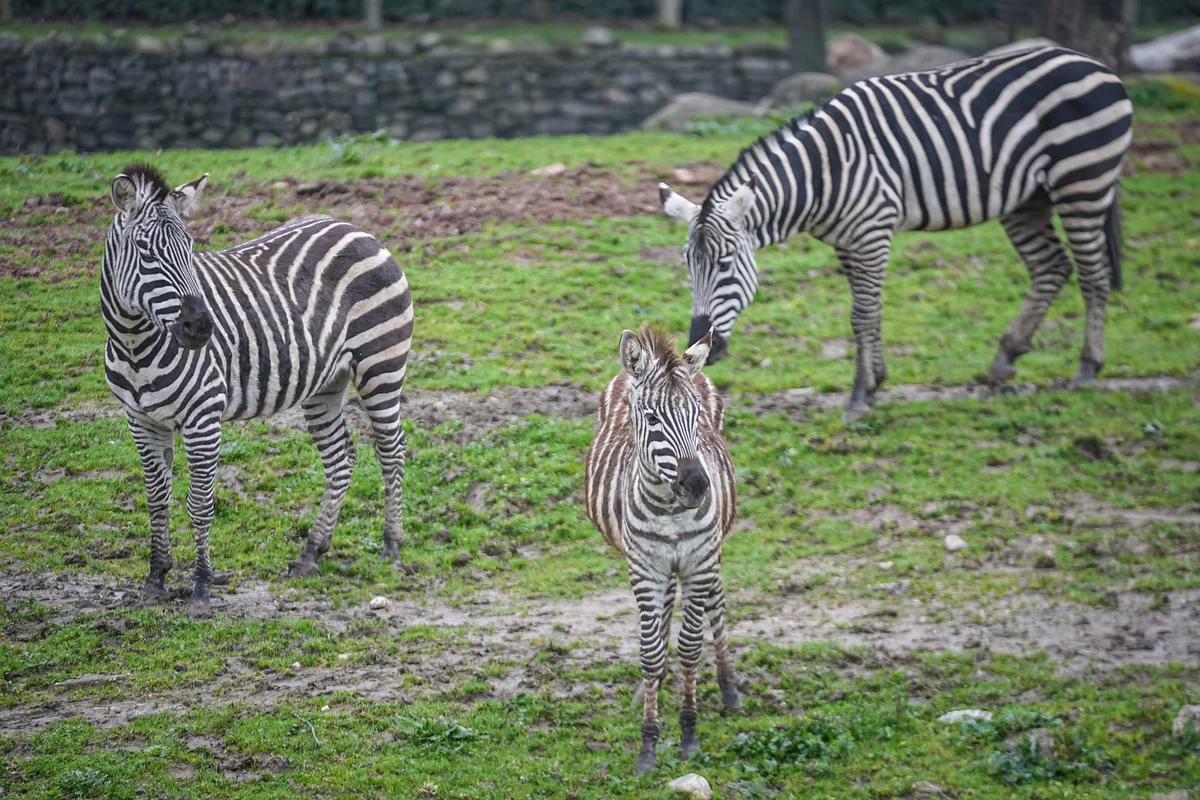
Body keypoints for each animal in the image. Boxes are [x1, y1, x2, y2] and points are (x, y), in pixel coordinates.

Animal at [101, 164, 413, 605]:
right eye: (146, 251)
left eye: (191, 247)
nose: (201, 328)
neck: (133, 344)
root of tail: (355, 228)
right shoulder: (141, 420)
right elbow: (156, 500)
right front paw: (156, 578)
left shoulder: (203, 417)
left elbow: (200, 504)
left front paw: (201, 586)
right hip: (325, 382)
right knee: (341, 458)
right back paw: (311, 552)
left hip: (381, 364)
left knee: (391, 450)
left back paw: (391, 546)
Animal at [584, 324, 741, 776]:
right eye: (652, 419)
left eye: (695, 416)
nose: (697, 486)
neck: (669, 508)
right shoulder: (645, 568)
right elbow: (651, 652)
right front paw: (648, 744)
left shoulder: (698, 562)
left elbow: (690, 646)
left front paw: (688, 733)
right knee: (665, 611)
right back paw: (648, 687)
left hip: (711, 551)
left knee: (717, 602)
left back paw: (729, 686)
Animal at [658, 45, 1133, 421]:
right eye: (687, 268)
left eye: (725, 265)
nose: (704, 346)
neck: (824, 174)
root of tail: (1091, 61)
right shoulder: (849, 242)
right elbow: (870, 312)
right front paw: (874, 383)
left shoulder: (872, 232)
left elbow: (863, 314)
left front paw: (857, 396)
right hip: (1027, 200)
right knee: (1052, 267)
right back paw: (1006, 357)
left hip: (1083, 180)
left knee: (1093, 273)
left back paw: (1087, 368)